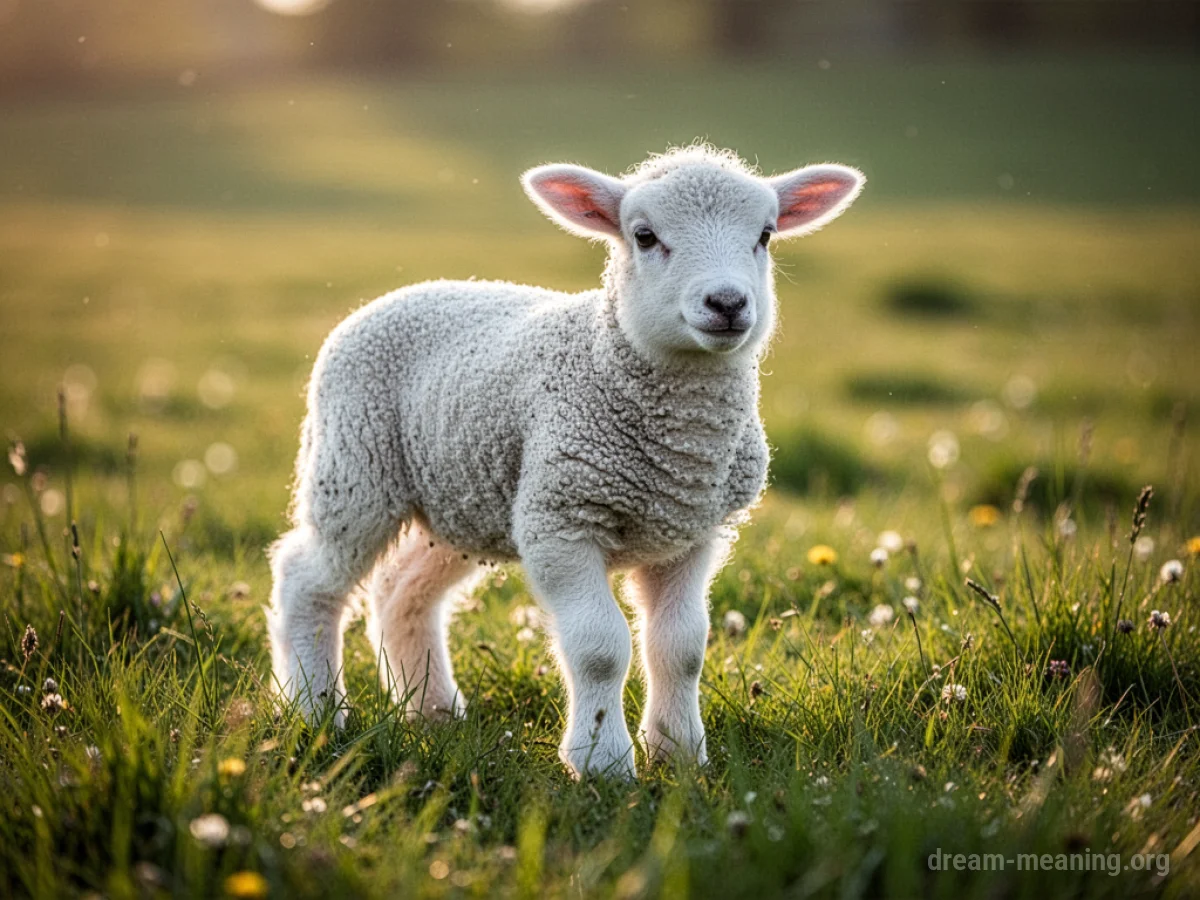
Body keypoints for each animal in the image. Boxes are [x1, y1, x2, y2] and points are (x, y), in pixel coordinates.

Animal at [266, 144, 864, 778]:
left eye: (766, 235)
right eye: (644, 236)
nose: (727, 303)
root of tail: (401, 293)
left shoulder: (691, 534)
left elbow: (681, 647)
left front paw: (678, 752)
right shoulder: (561, 518)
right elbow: (600, 648)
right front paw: (603, 763)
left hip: (462, 501)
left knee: (400, 588)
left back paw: (431, 710)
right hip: (354, 467)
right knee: (307, 580)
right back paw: (315, 709)